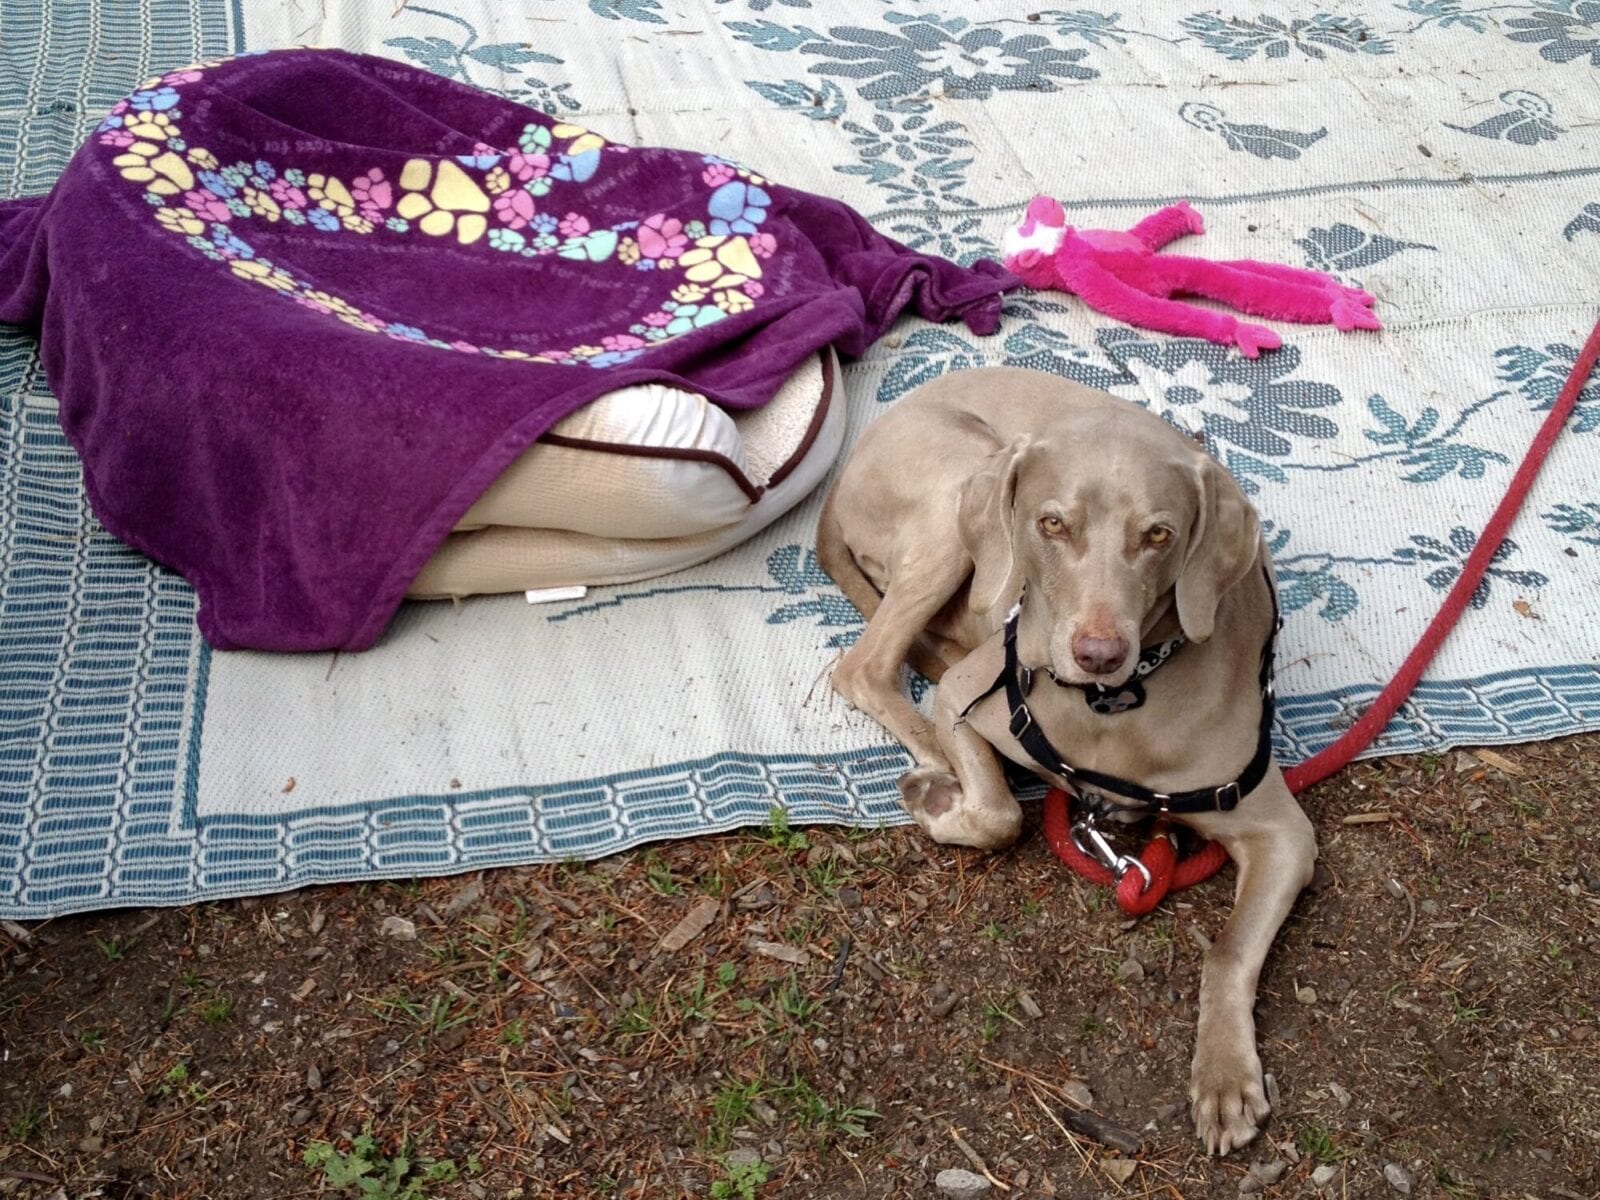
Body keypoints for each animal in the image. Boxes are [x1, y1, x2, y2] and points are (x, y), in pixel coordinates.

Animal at [819, 366, 1318, 1158]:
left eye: (1158, 535)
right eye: (1052, 524)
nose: (1097, 654)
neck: (1114, 708)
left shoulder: (1280, 831)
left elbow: (1229, 951)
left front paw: (1224, 1073)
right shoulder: (971, 698)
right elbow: (997, 814)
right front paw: (945, 798)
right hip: (952, 510)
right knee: (865, 666)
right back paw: (931, 759)